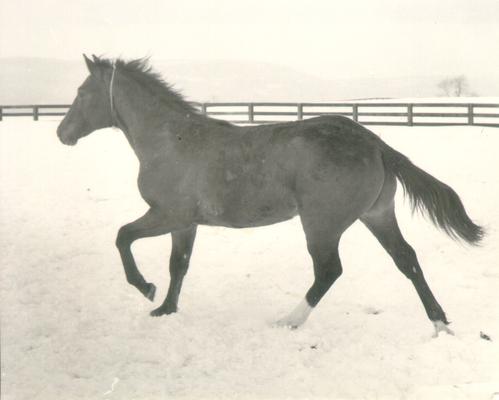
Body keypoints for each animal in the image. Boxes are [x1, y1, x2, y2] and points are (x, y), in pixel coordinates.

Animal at [55, 54, 484, 336]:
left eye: (82, 92)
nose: (62, 133)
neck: (171, 140)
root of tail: (375, 142)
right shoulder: (186, 224)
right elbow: (179, 265)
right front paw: (166, 309)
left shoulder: (168, 215)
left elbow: (123, 236)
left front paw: (146, 290)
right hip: (377, 215)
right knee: (406, 259)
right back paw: (440, 324)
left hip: (322, 225)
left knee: (329, 270)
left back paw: (288, 320)